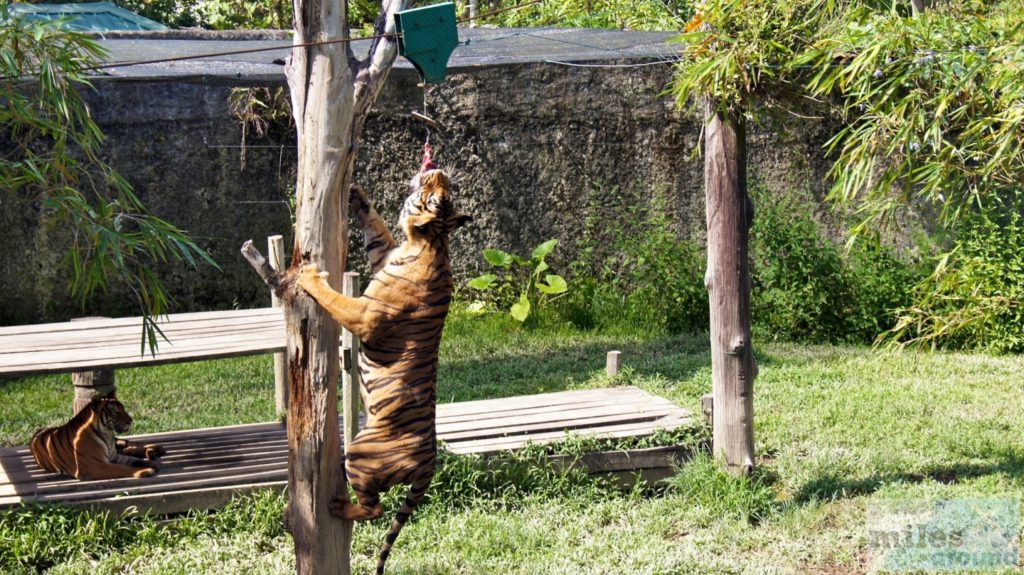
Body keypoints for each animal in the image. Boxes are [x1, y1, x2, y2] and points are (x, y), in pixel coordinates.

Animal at [29, 392, 164, 478]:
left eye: (123, 408)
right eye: (115, 412)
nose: (130, 420)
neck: (107, 434)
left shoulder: (114, 456)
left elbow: (133, 460)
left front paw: (149, 464)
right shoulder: (95, 465)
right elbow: (122, 468)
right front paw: (145, 470)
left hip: (120, 443)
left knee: (129, 444)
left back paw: (156, 449)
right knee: (127, 447)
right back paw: (152, 452)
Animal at [299, 164, 468, 572]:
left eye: (435, 195)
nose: (439, 170)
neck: (430, 242)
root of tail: (430, 465)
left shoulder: (364, 315)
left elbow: (333, 298)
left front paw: (309, 277)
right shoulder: (381, 249)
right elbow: (375, 225)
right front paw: (357, 195)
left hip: (360, 454)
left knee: (374, 510)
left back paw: (338, 506)